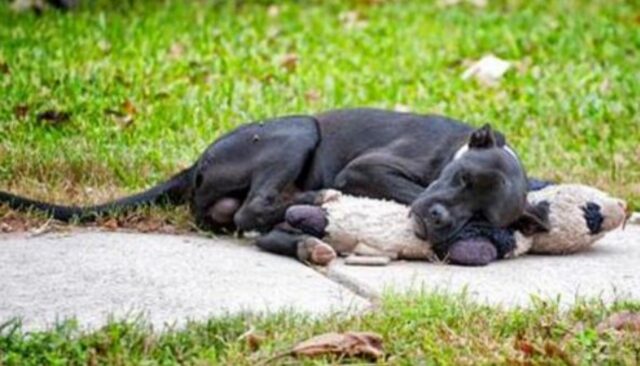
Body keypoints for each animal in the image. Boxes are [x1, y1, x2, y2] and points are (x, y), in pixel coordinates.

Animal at [1, 108, 552, 258]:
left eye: (483, 211)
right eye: (460, 178)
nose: (438, 221)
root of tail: (196, 164)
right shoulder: (368, 170)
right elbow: (411, 191)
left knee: (253, 219)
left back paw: (308, 230)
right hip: (298, 130)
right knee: (254, 208)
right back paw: (318, 201)